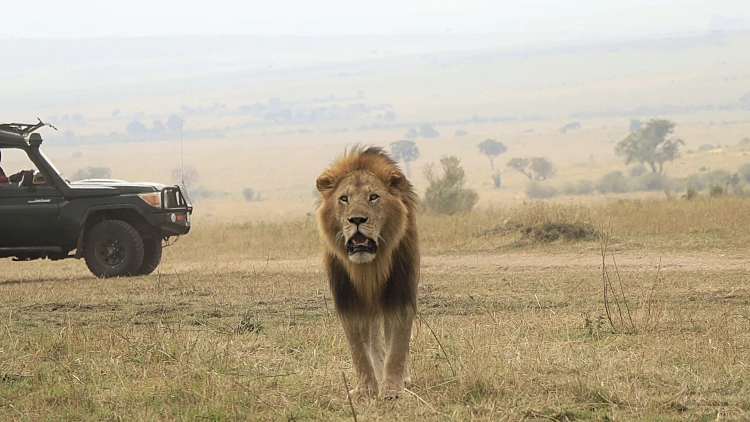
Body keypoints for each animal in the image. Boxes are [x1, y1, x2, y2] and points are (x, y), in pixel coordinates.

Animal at [314, 145, 420, 398]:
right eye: (344, 198)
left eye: (373, 196)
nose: (357, 219)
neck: (369, 268)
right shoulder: (348, 299)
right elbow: (359, 351)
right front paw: (365, 389)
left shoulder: (400, 293)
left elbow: (398, 345)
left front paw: (392, 389)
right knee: (373, 341)